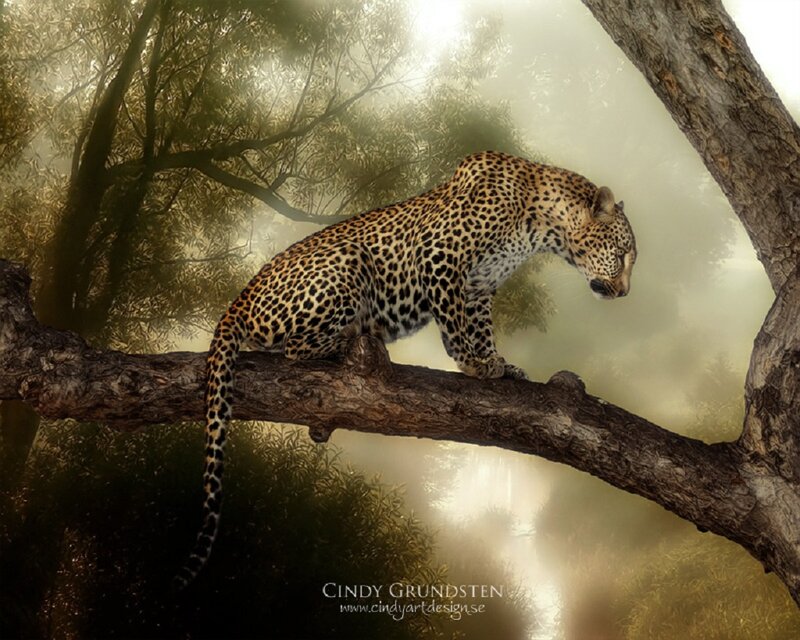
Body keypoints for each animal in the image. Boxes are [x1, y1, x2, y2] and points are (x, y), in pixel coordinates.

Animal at [174, 150, 637, 588]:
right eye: (622, 255)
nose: (624, 293)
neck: (541, 224)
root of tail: (240, 299)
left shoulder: (480, 285)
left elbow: (482, 326)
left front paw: (498, 364)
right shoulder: (441, 256)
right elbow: (455, 323)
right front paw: (473, 363)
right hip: (347, 261)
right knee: (294, 348)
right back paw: (348, 342)